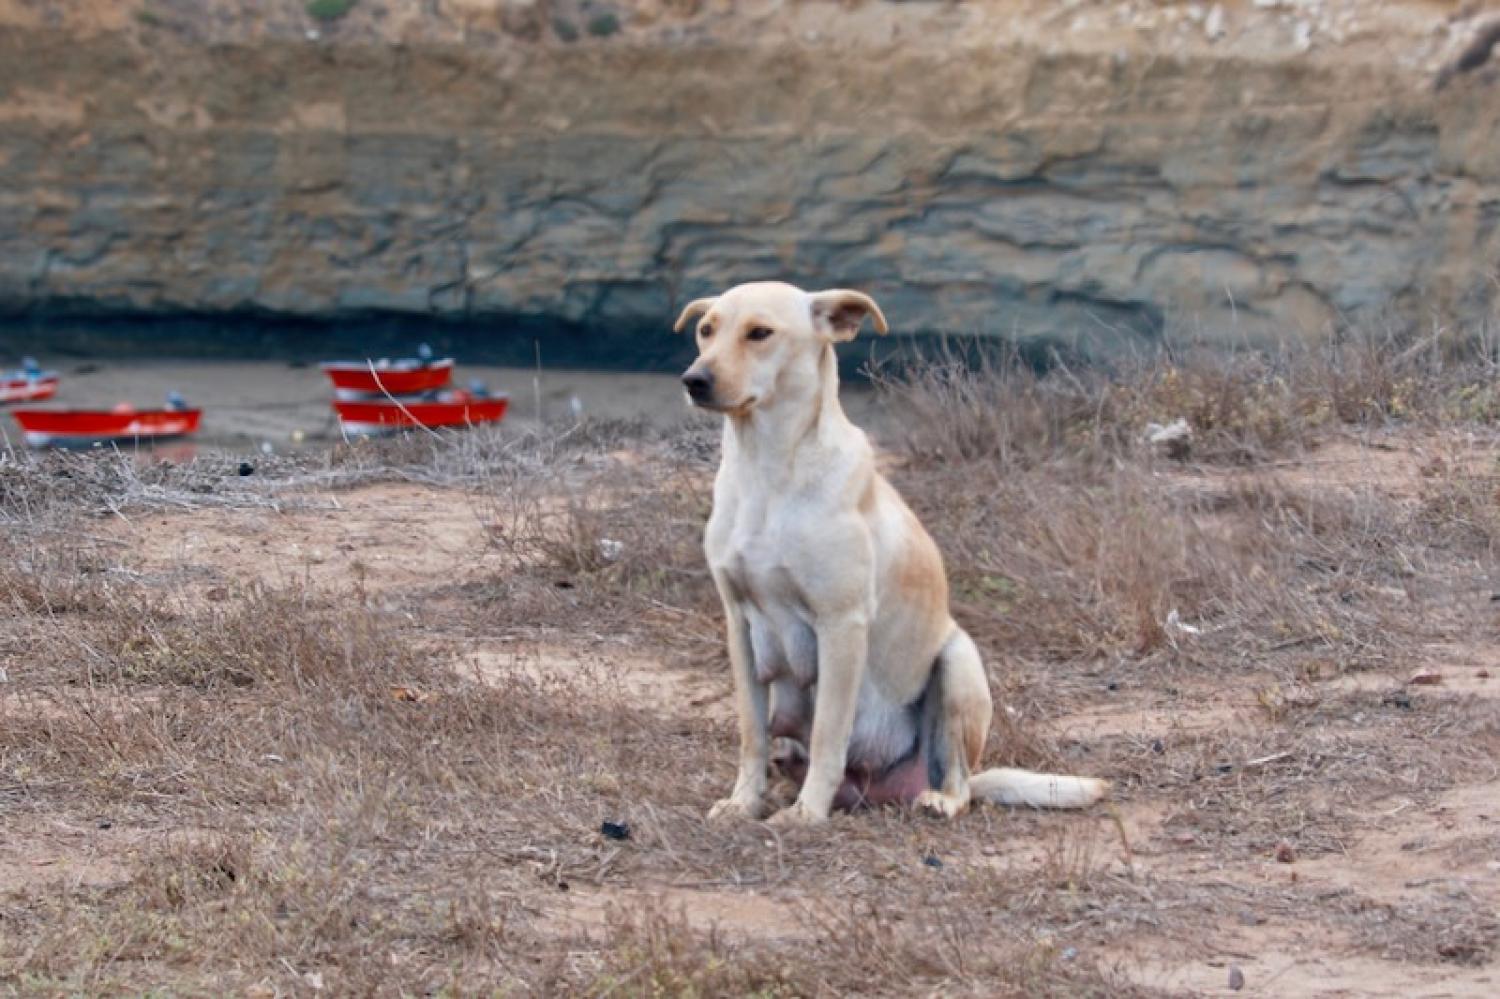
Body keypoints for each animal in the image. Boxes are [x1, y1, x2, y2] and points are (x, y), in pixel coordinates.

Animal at [675, 282, 1110, 822]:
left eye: (760, 333)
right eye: (705, 329)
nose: (694, 380)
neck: (767, 471)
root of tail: (884, 789)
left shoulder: (841, 625)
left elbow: (829, 733)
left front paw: (807, 814)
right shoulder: (739, 626)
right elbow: (750, 734)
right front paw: (743, 802)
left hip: (958, 663)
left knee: (960, 782)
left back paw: (937, 800)